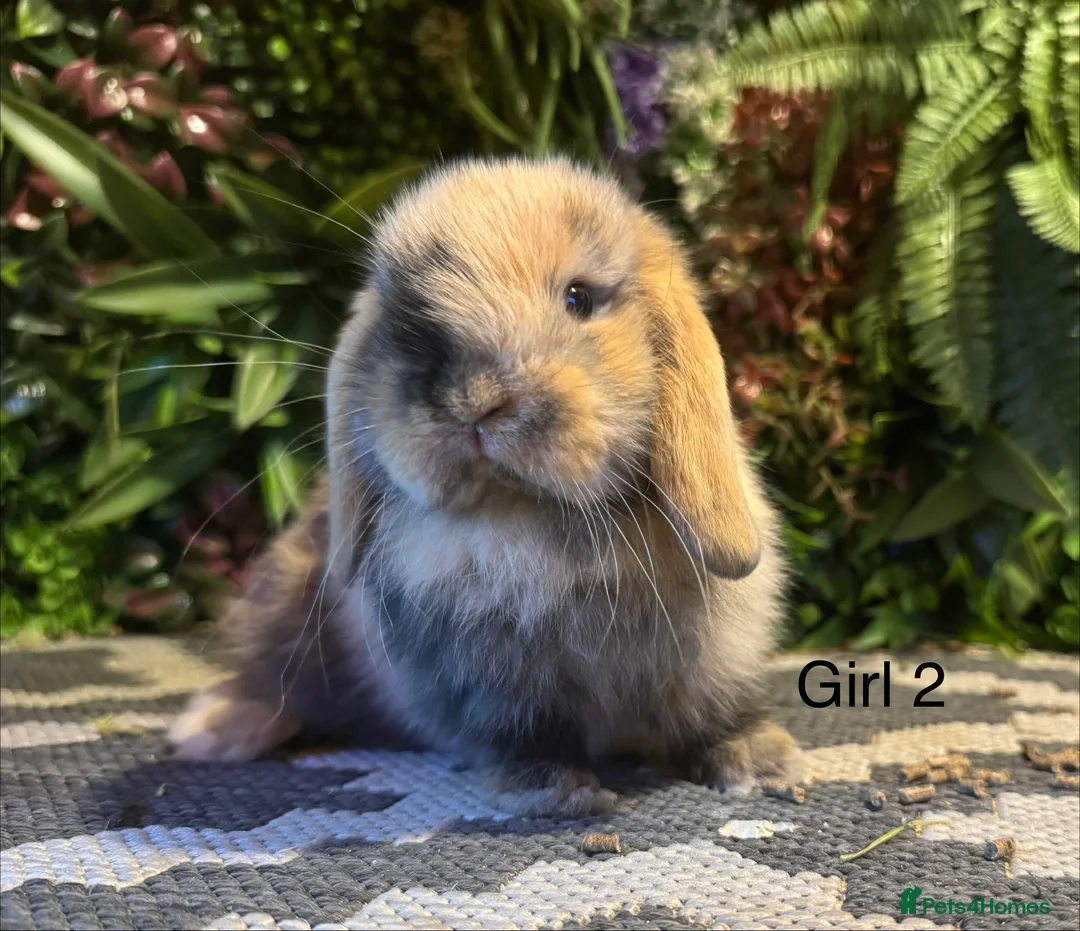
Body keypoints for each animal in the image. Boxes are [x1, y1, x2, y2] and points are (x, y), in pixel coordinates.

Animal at [168, 155, 800, 816]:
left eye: (579, 297)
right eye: (406, 319)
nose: (476, 400)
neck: (530, 521)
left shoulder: (708, 659)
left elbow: (710, 715)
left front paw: (762, 763)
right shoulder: (488, 685)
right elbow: (524, 734)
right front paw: (557, 792)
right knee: (272, 683)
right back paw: (213, 729)